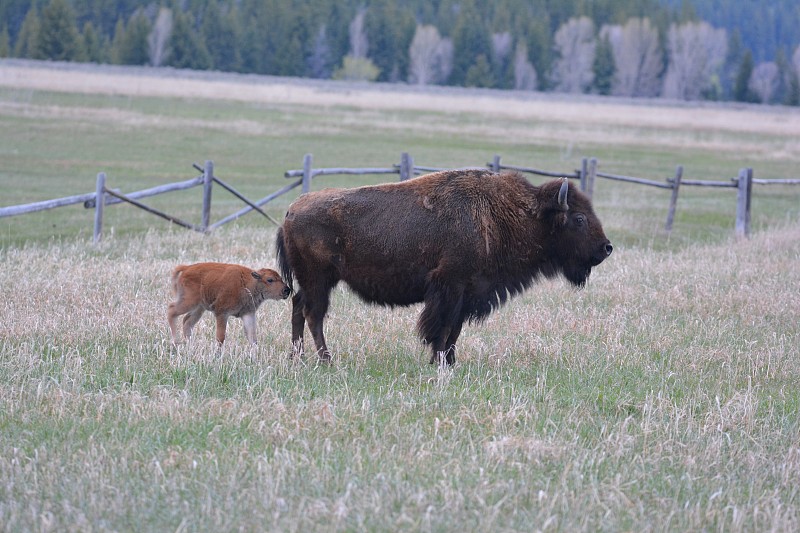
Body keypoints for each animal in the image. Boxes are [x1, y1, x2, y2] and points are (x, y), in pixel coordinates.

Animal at [276, 170, 612, 366]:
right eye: (579, 218)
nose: (606, 248)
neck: (507, 213)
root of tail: (291, 211)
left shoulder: (469, 291)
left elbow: (456, 329)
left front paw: (450, 361)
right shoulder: (450, 286)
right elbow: (444, 326)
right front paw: (437, 361)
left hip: (312, 282)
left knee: (299, 308)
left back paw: (297, 356)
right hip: (319, 280)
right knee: (314, 314)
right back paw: (326, 360)